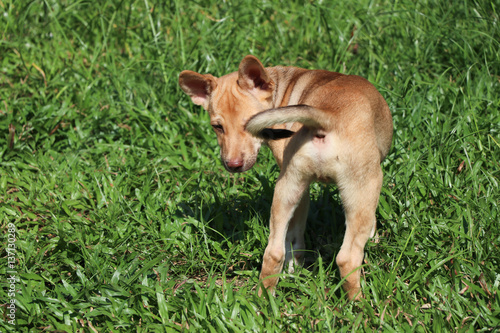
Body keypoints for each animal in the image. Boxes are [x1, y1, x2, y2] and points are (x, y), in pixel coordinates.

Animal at [178, 55, 392, 300]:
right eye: (217, 126)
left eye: (248, 123)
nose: (233, 165)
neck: (280, 90)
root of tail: (326, 115)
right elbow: (372, 223)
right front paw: (374, 239)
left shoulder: (302, 190)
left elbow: (293, 235)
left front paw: (294, 266)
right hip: (365, 185)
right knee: (347, 258)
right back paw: (358, 304)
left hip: (286, 189)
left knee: (273, 252)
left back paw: (264, 298)